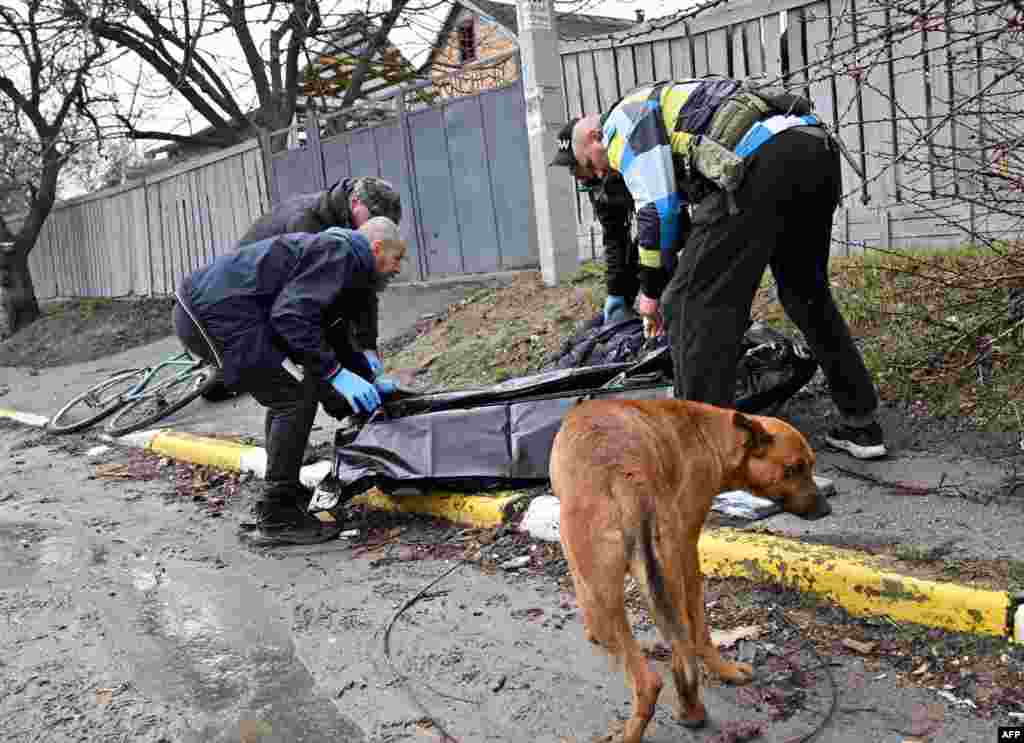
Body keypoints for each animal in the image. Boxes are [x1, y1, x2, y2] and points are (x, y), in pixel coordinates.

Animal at [548, 399, 827, 740]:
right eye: (794, 469)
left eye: (808, 467)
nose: (826, 510)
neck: (711, 434)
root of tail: (628, 475)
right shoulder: (687, 546)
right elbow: (699, 629)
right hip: (666, 570)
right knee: (683, 656)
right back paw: (694, 708)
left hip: (602, 591)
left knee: (647, 680)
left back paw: (632, 729)